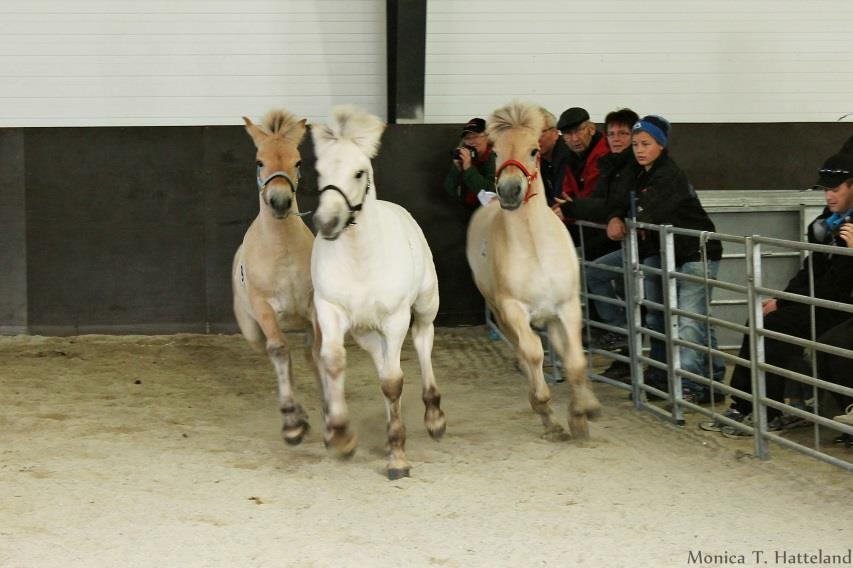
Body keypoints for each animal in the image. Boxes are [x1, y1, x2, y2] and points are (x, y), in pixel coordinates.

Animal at [231, 108, 322, 448]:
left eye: (298, 161)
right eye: (259, 161)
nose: (280, 201)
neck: (282, 253)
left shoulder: (314, 307)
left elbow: (318, 355)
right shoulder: (264, 308)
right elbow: (280, 352)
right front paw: (293, 423)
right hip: (252, 330)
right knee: (279, 354)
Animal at [312, 105, 446, 480]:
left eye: (359, 173)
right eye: (319, 171)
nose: (326, 223)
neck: (360, 259)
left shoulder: (395, 319)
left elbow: (393, 381)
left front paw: (398, 456)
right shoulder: (330, 312)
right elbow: (334, 363)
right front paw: (341, 436)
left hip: (425, 306)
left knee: (422, 342)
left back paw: (434, 417)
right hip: (364, 332)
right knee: (383, 362)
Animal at [466, 101, 600, 440]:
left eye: (534, 150)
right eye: (496, 151)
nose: (510, 191)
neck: (536, 250)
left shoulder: (567, 306)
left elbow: (575, 360)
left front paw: (583, 413)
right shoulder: (513, 310)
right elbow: (534, 353)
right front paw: (549, 415)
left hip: (551, 316)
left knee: (562, 350)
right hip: (502, 313)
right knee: (524, 351)